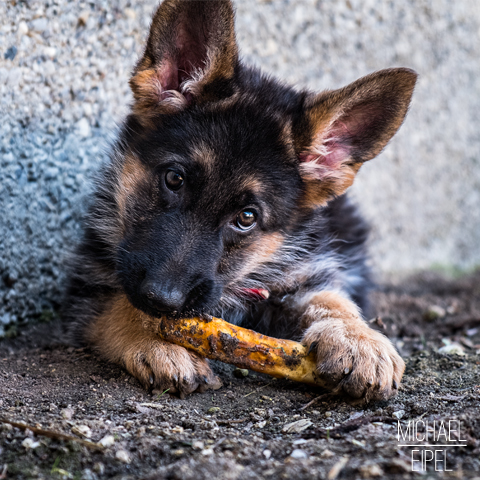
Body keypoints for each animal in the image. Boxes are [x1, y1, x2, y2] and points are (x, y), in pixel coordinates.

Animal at [63, 0, 416, 402]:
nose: (162, 298)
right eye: (174, 179)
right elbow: (119, 306)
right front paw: (157, 342)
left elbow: (332, 298)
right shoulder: (87, 289)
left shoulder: (304, 272)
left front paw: (358, 338)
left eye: (246, 217)